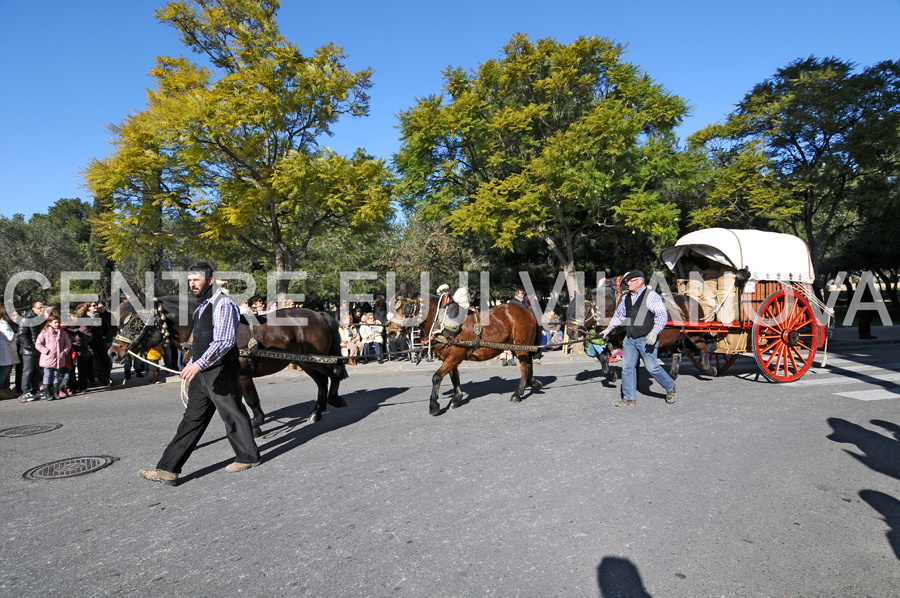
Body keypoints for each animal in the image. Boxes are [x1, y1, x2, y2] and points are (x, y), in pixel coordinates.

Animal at [109, 298, 348, 436]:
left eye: (136, 324)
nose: (113, 352)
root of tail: (320, 314)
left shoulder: (243, 376)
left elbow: (251, 400)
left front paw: (256, 424)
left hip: (315, 358)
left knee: (335, 373)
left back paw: (334, 401)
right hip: (305, 361)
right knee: (322, 381)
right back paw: (317, 412)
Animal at [384, 294, 540, 418]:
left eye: (406, 308)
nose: (391, 332)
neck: (443, 323)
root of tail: (527, 311)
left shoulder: (454, 356)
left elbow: (436, 377)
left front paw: (434, 405)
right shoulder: (450, 357)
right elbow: (455, 378)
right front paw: (456, 399)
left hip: (521, 346)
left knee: (524, 367)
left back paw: (518, 393)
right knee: (529, 363)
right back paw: (533, 383)